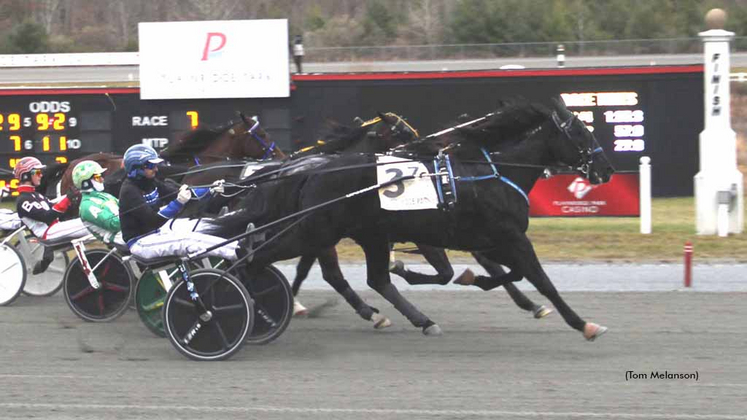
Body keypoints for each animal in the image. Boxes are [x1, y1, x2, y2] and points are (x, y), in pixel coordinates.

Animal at [209, 97, 612, 340]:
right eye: (581, 133)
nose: (605, 171)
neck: (491, 174)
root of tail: (310, 170)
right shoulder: (509, 236)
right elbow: (540, 280)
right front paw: (583, 324)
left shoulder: (488, 238)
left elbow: (501, 273)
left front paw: (474, 280)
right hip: (315, 230)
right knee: (256, 255)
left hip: (361, 233)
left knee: (373, 279)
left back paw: (417, 319)